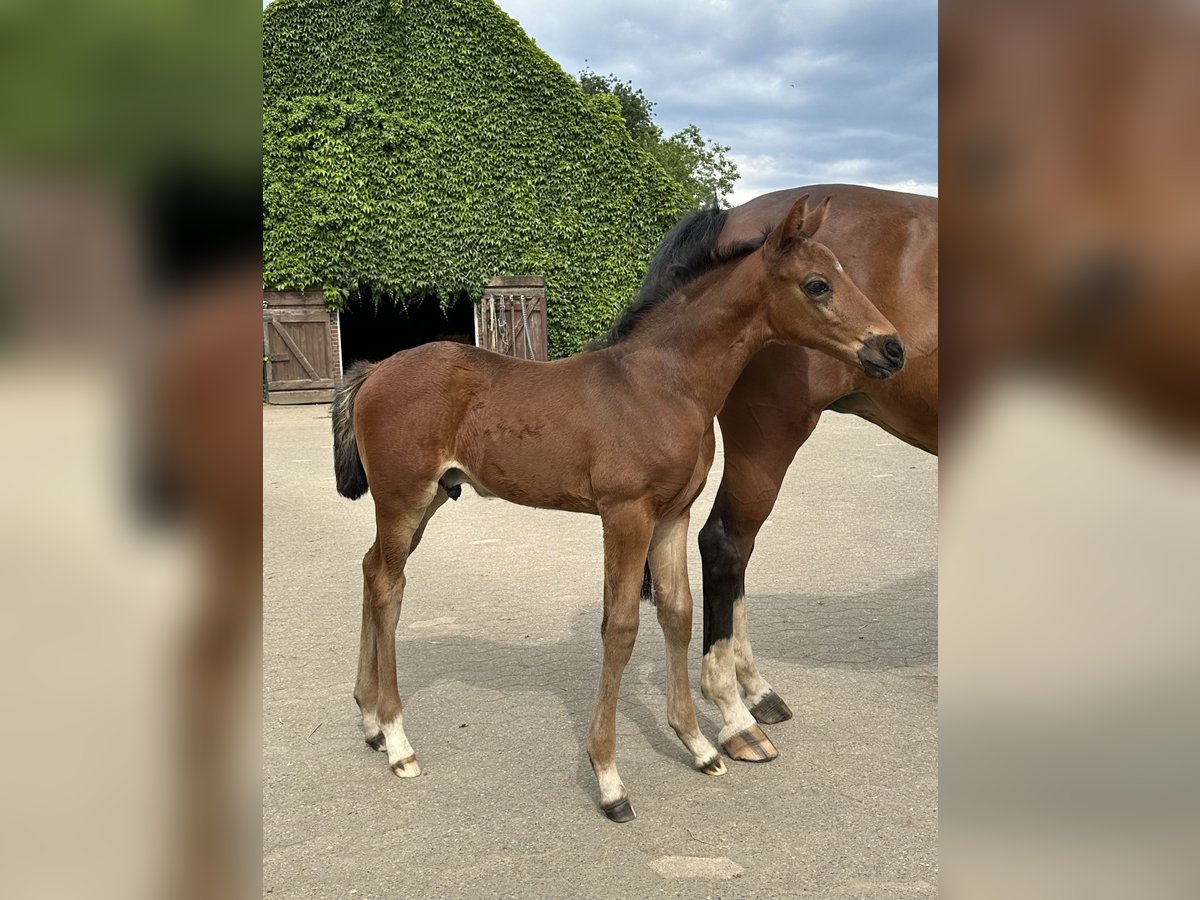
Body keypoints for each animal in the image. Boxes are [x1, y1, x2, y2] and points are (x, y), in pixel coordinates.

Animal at [328, 196, 902, 825]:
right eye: (818, 284)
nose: (891, 348)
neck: (662, 384)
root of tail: (373, 370)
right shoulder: (626, 513)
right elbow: (621, 626)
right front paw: (609, 779)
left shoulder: (673, 515)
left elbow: (678, 612)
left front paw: (699, 746)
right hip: (403, 500)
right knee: (388, 586)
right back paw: (396, 740)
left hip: (428, 499)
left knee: (371, 570)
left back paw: (368, 720)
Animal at [696, 187, 936, 758]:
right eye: (818, 284)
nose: (893, 348)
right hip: (767, 440)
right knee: (724, 545)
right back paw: (737, 717)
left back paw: (757, 693)